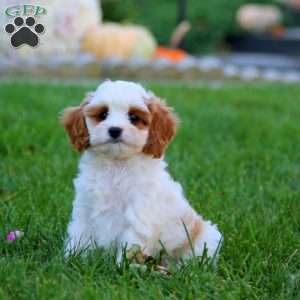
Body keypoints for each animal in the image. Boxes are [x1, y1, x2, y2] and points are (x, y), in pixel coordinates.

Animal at [61, 80, 221, 262]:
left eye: (133, 117)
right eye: (103, 114)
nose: (114, 130)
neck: (116, 165)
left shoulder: (138, 216)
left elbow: (129, 246)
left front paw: (122, 266)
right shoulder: (85, 209)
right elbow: (79, 236)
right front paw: (70, 260)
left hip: (205, 238)